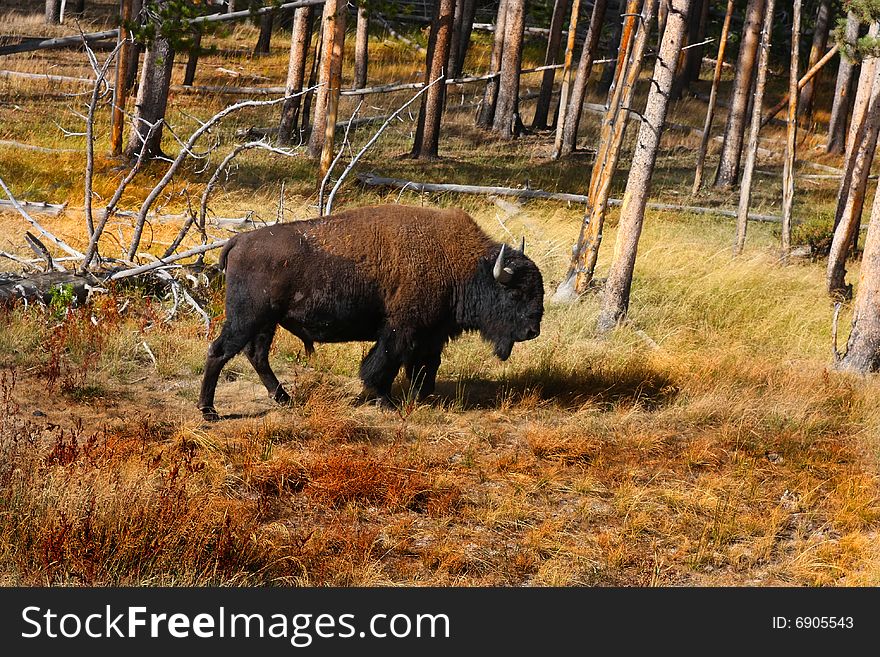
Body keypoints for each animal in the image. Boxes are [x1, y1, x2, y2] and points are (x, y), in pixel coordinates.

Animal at [198, 204, 544, 420]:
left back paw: (283, 398)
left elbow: (426, 366)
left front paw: (424, 397)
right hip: (247, 318)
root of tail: (239, 240)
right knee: (219, 351)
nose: (533, 331)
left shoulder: (432, 334)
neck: (460, 264)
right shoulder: (400, 331)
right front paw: (386, 402)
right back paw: (209, 411)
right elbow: (383, 365)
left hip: (266, 322)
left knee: (256, 355)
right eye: (516, 293)